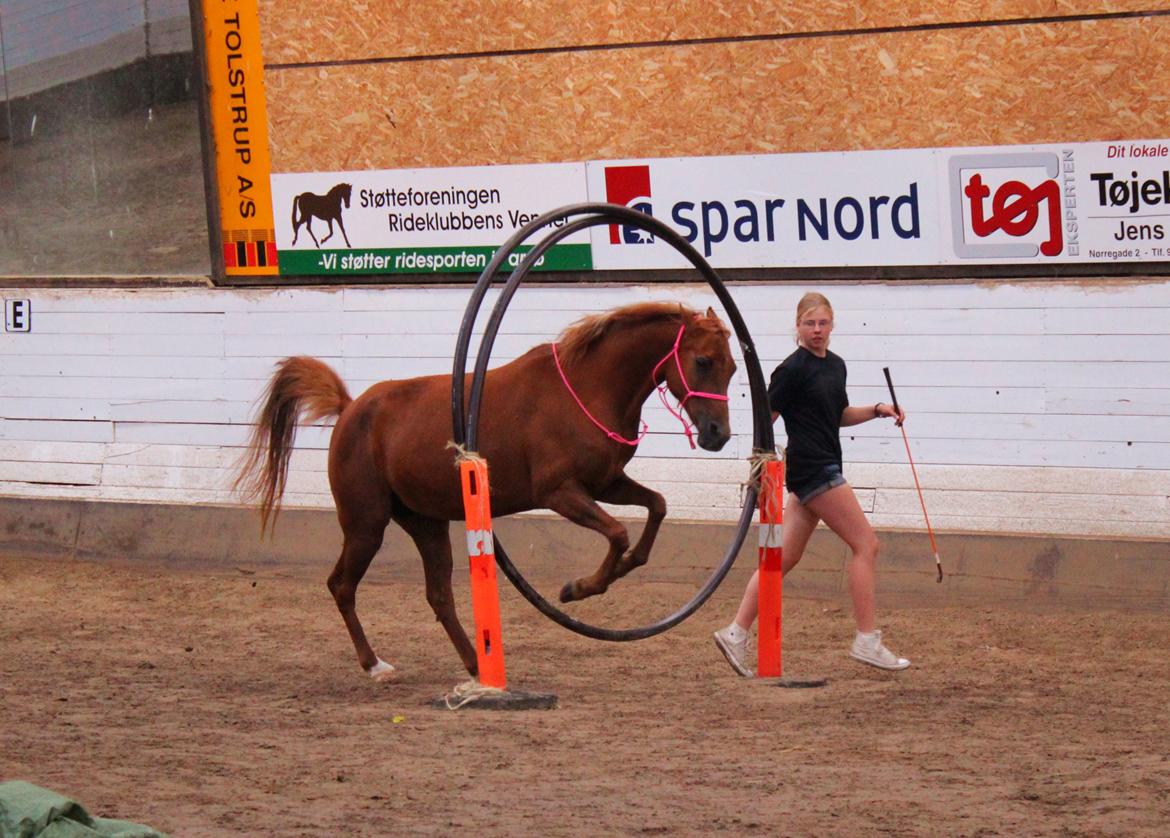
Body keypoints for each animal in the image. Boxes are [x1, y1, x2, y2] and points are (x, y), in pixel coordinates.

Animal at [232, 301, 734, 678]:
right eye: (702, 361)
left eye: (731, 367)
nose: (718, 435)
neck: (589, 387)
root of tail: (352, 408)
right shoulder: (560, 492)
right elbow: (617, 533)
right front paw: (580, 588)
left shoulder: (606, 483)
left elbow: (657, 508)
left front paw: (622, 568)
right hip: (365, 526)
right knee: (341, 585)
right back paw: (375, 664)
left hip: (427, 524)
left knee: (438, 595)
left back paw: (476, 664)